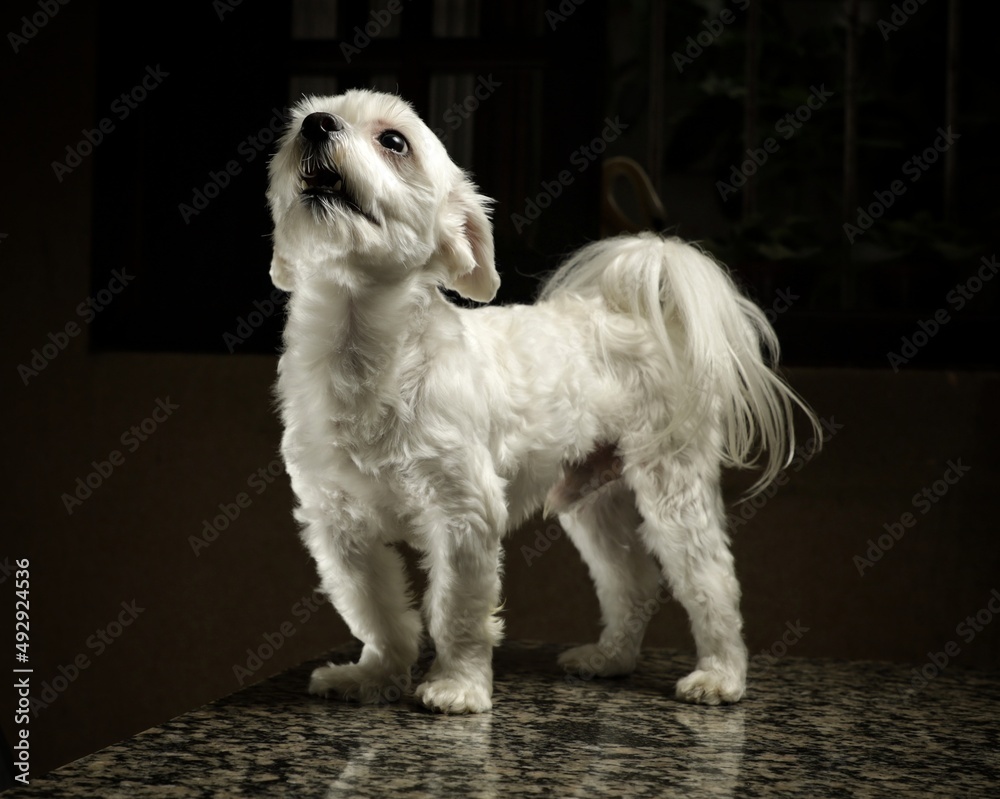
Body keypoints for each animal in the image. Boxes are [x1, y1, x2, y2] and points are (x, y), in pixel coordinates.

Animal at [268, 90, 820, 716]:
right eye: (297, 126)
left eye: (394, 141)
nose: (316, 126)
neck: (364, 357)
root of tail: (633, 311)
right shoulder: (339, 529)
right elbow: (376, 611)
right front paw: (375, 675)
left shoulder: (464, 514)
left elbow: (458, 612)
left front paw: (458, 687)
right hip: (593, 501)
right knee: (632, 582)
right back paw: (611, 658)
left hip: (671, 485)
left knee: (711, 578)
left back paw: (720, 676)